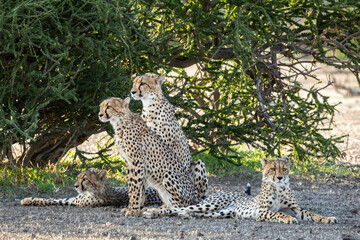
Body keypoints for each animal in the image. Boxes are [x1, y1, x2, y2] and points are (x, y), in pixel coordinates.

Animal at [19, 168, 160, 207]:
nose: (75, 186)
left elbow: (52, 201)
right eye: (78, 177)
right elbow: (51, 199)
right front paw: (28, 199)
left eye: (85, 179)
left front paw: (26, 200)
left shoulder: (75, 202)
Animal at [143, 157, 338, 224]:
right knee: (176, 208)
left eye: (284, 169)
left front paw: (327, 218)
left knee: (186, 211)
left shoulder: (296, 208)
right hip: (209, 205)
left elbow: (311, 213)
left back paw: (187, 216)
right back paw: (151, 212)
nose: (280, 177)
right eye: (272, 169)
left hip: (220, 213)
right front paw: (288, 219)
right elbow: (278, 213)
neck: (278, 188)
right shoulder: (262, 211)